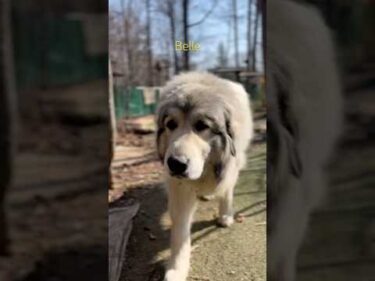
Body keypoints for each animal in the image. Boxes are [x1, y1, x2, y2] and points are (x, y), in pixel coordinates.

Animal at [157, 71, 254, 280]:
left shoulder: (230, 165)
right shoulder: (179, 188)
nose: (176, 164)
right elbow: (180, 230)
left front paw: (225, 215)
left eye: (202, 125)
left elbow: (226, 191)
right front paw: (177, 268)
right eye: (171, 124)